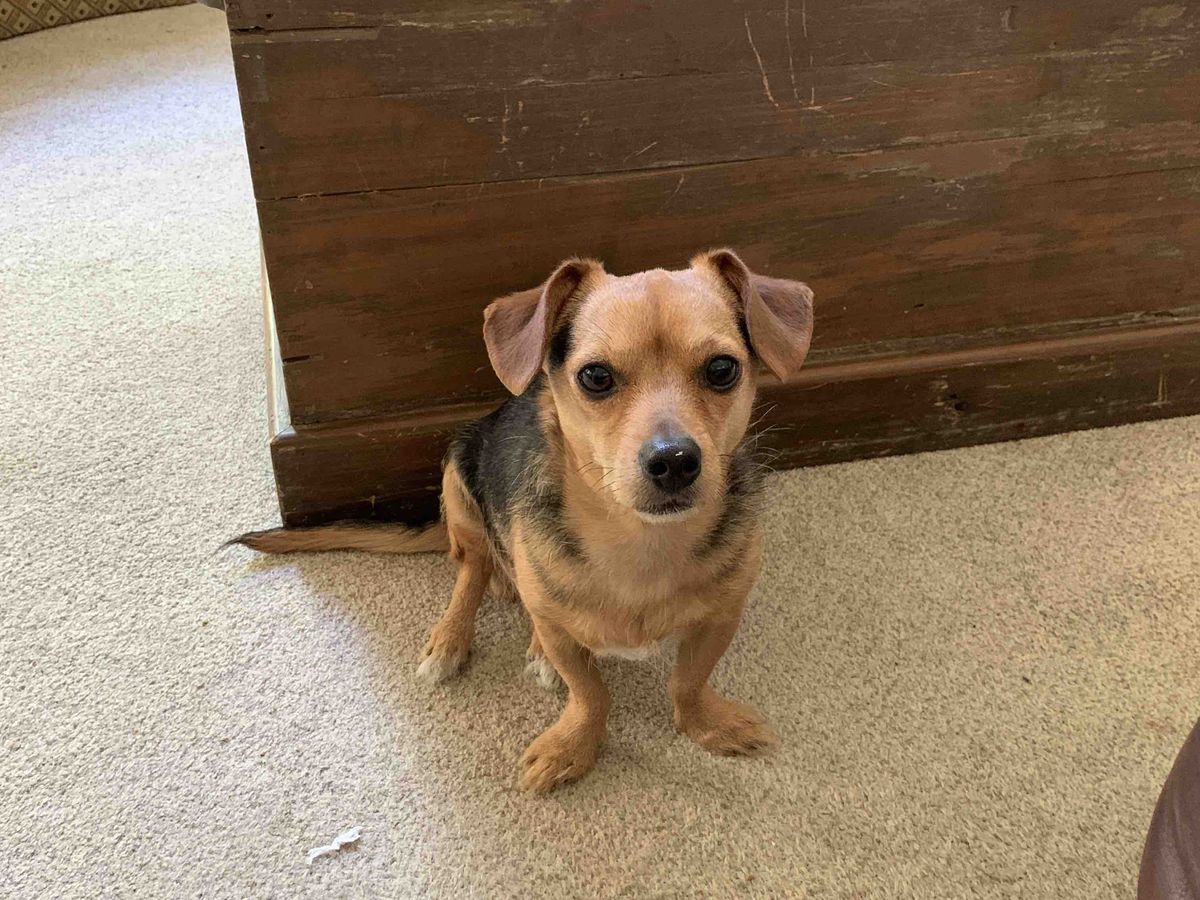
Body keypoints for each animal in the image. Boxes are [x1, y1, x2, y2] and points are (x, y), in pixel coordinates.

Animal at [234, 249, 814, 793]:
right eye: (596, 376)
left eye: (722, 369)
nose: (673, 460)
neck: (642, 542)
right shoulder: (566, 635)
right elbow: (591, 694)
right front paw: (574, 747)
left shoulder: (721, 618)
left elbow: (687, 682)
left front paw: (707, 725)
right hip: (459, 485)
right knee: (475, 572)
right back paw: (456, 638)